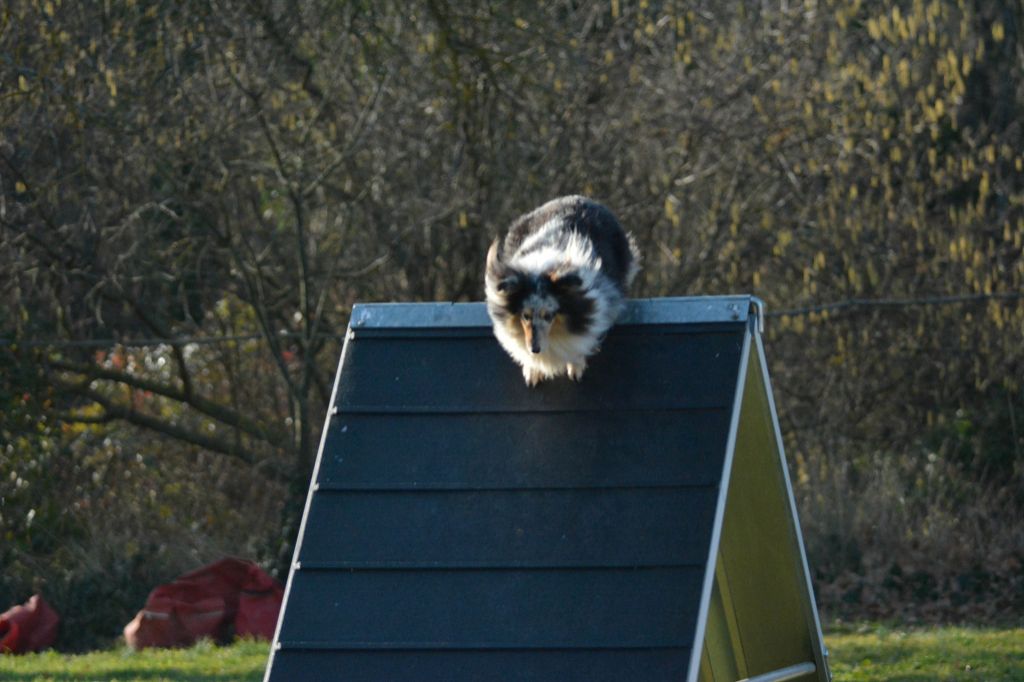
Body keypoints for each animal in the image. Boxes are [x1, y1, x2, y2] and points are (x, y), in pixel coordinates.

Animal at [481, 196, 638, 385]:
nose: (534, 349)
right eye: (525, 315)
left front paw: (575, 368)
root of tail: (579, 197)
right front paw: (532, 372)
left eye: (549, 316)